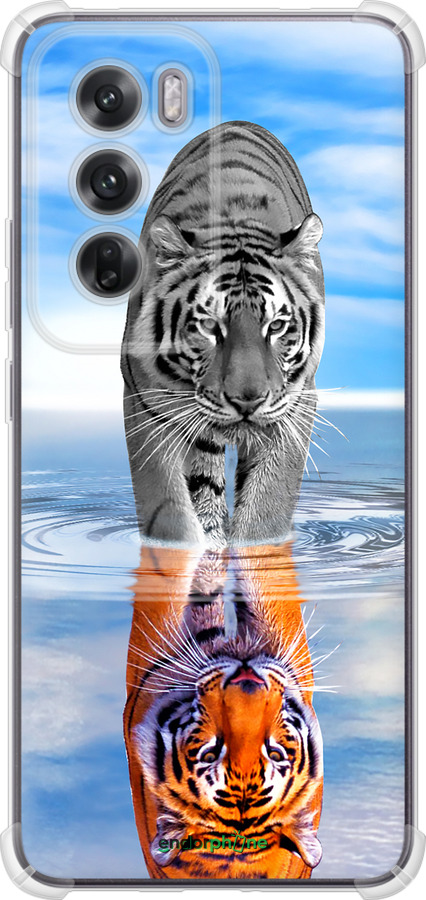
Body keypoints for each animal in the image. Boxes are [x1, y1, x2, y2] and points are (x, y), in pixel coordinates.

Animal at [121, 120, 325, 549]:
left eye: (276, 326)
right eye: (209, 326)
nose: (248, 400)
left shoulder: (296, 404)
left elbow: (267, 509)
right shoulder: (145, 402)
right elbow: (169, 511)